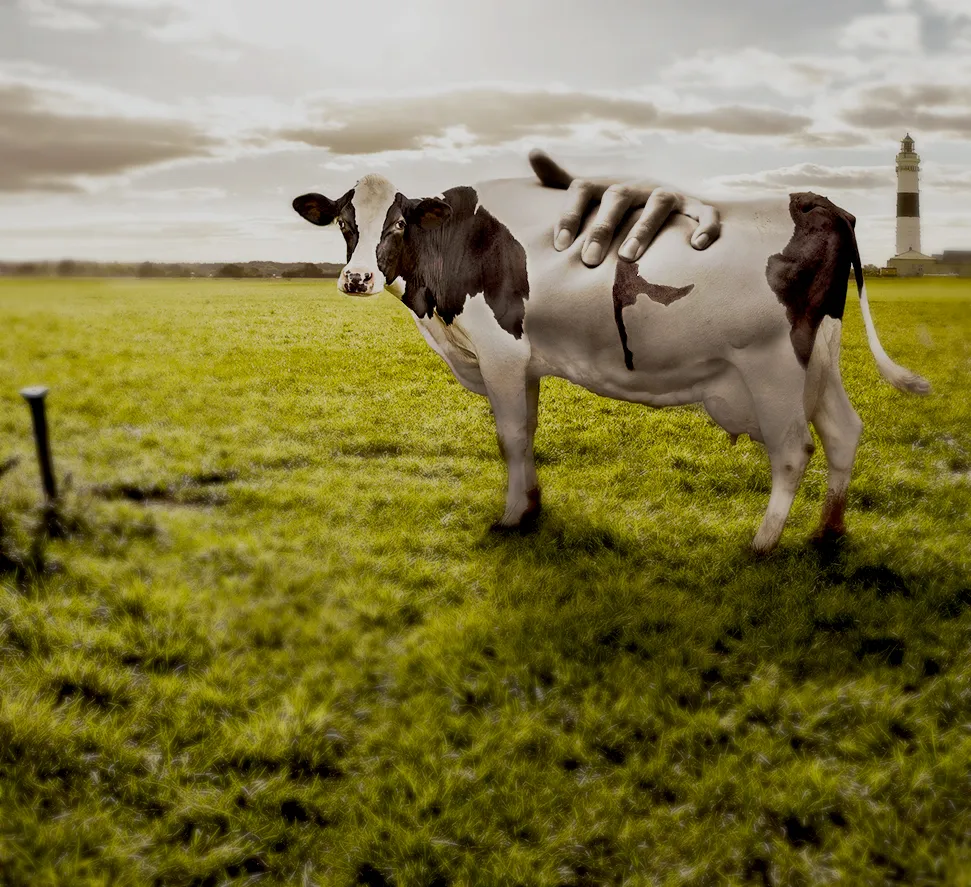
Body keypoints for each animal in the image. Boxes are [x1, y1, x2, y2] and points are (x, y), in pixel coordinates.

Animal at [292, 158, 929, 552]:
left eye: (398, 224)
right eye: (345, 223)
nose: (356, 279)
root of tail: (815, 201)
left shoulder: (501, 349)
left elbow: (511, 435)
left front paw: (510, 517)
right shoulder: (524, 360)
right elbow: (527, 432)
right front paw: (531, 507)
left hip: (772, 364)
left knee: (794, 450)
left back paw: (763, 544)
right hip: (818, 356)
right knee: (844, 431)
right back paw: (827, 533)